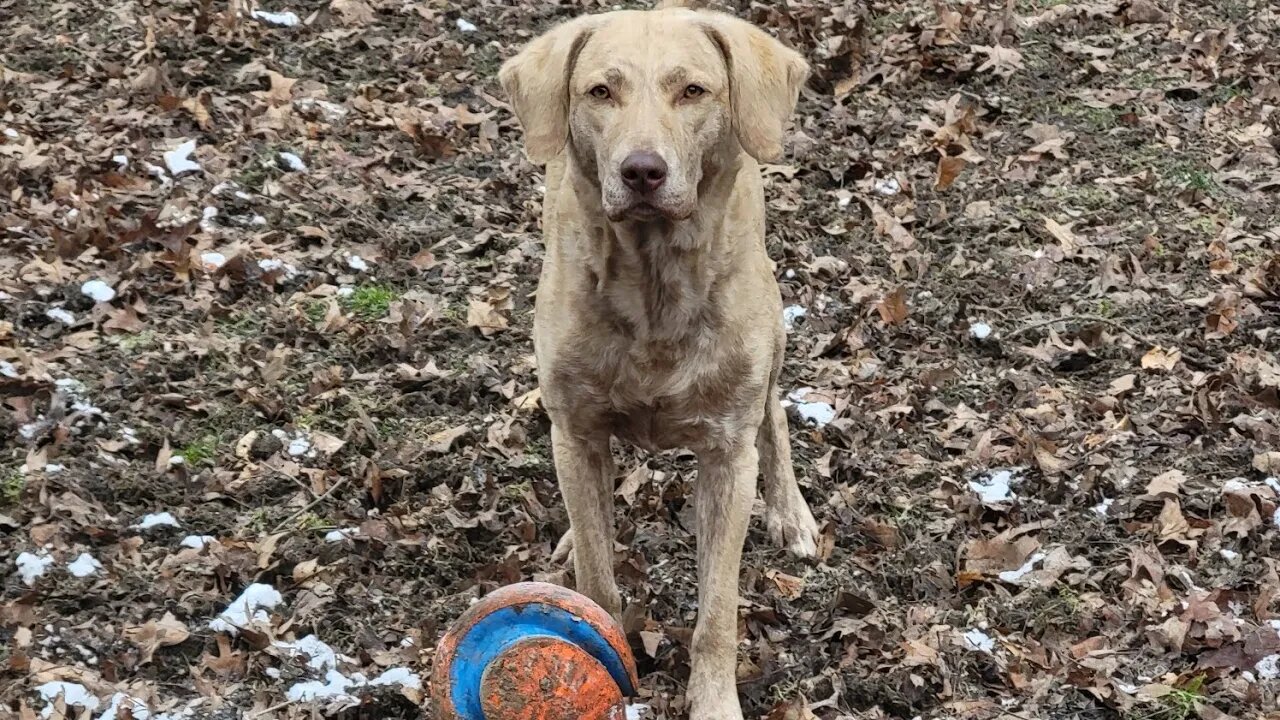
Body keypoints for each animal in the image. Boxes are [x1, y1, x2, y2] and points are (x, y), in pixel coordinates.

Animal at [499, 2, 819, 712]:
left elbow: (718, 607)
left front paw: (715, 700)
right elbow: (597, 573)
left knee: (774, 413)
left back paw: (791, 512)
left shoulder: (728, 454)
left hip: (771, 323)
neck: (654, 288)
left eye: (693, 90)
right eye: (600, 91)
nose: (641, 171)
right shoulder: (575, 430)